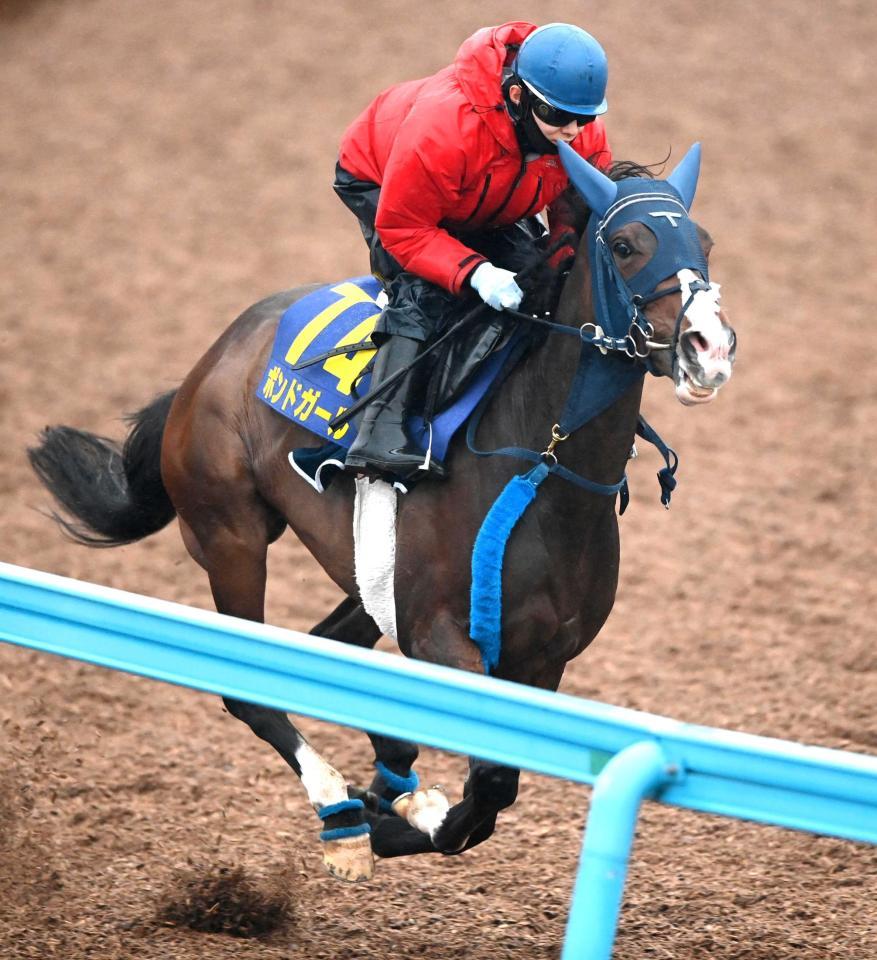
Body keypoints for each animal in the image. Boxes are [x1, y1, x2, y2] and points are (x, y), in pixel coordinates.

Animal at [29, 144, 732, 884]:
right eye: (625, 246)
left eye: (705, 244)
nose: (708, 348)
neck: (541, 465)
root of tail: (211, 359)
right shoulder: (438, 634)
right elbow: (484, 785)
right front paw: (395, 817)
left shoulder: (542, 659)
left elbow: (493, 788)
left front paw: (401, 810)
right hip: (230, 535)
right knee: (248, 685)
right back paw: (338, 808)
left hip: (369, 579)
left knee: (335, 650)